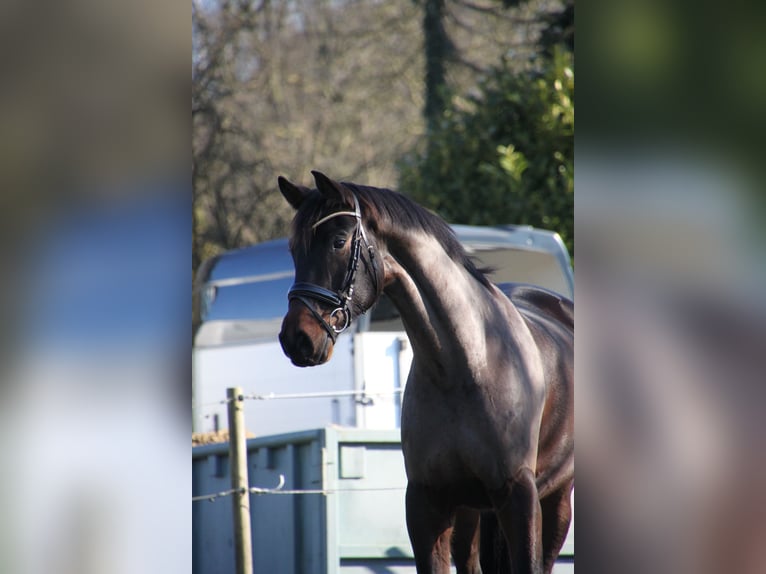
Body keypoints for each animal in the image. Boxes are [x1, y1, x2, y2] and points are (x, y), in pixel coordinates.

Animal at [280, 172, 572, 574]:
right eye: (294, 250)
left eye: (338, 242)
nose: (296, 339)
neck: (464, 367)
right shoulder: (426, 504)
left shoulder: (519, 497)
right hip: (472, 512)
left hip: (554, 500)